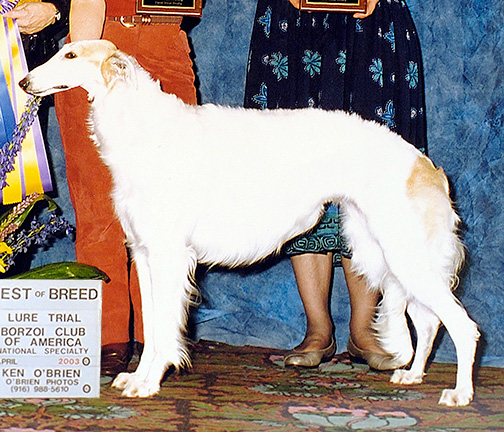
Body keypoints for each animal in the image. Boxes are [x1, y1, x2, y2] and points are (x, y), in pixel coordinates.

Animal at [21, 39, 480, 404]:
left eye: (70, 55)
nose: (25, 83)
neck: (142, 128)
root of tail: (424, 164)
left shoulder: (169, 255)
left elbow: (164, 329)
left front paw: (147, 383)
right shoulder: (146, 255)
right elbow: (150, 326)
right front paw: (137, 376)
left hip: (403, 253)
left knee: (464, 326)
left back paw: (460, 394)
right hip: (386, 253)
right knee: (429, 320)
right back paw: (412, 375)